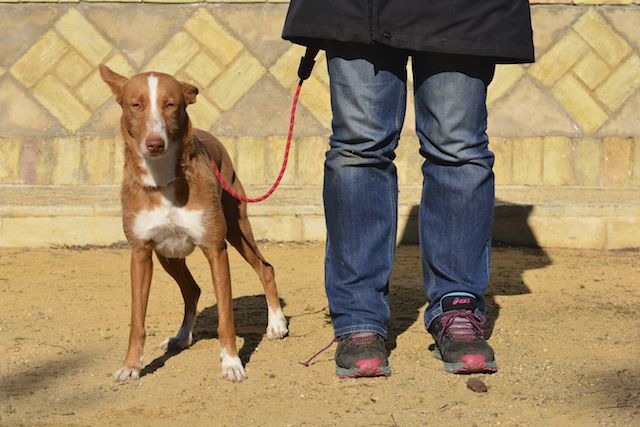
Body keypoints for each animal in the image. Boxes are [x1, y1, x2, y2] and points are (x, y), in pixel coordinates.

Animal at [100, 65, 288, 382]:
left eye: (170, 104)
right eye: (135, 105)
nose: (155, 143)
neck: (162, 179)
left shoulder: (216, 249)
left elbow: (226, 319)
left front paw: (232, 363)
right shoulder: (140, 253)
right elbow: (137, 320)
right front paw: (131, 365)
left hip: (237, 228)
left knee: (265, 268)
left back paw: (276, 323)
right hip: (168, 256)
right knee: (192, 290)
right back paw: (181, 336)